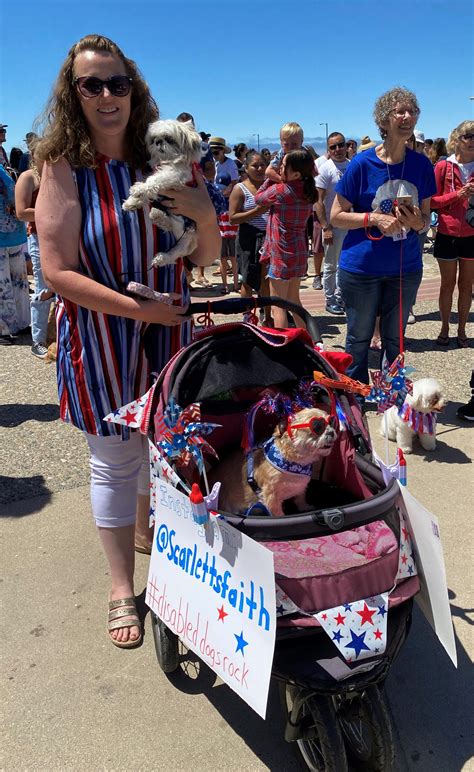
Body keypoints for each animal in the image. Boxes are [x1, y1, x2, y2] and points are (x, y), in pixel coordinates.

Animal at [122, 119, 204, 266]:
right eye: (153, 139)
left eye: (169, 139)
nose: (158, 141)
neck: (167, 161)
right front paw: (132, 201)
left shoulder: (176, 175)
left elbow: (155, 180)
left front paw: (139, 189)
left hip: (184, 228)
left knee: (178, 249)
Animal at [209, 404, 338, 520]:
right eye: (317, 426)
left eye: (332, 423)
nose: (331, 432)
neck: (295, 463)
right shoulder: (270, 496)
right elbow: (277, 513)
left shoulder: (300, 488)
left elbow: (300, 498)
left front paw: (304, 507)